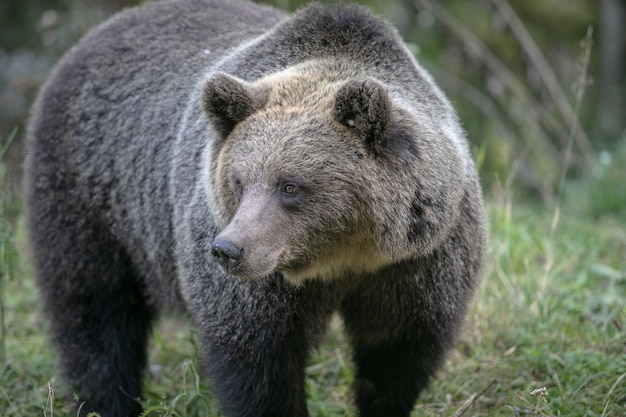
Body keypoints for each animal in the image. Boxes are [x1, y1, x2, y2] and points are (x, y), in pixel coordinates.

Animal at [24, 0, 486, 416]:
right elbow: (257, 364)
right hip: (91, 194)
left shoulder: (418, 263)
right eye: (239, 181)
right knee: (95, 313)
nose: (228, 249)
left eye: (290, 186)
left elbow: (395, 359)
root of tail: (95, 36)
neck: (343, 256)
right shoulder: (259, 284)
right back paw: (105, 402)